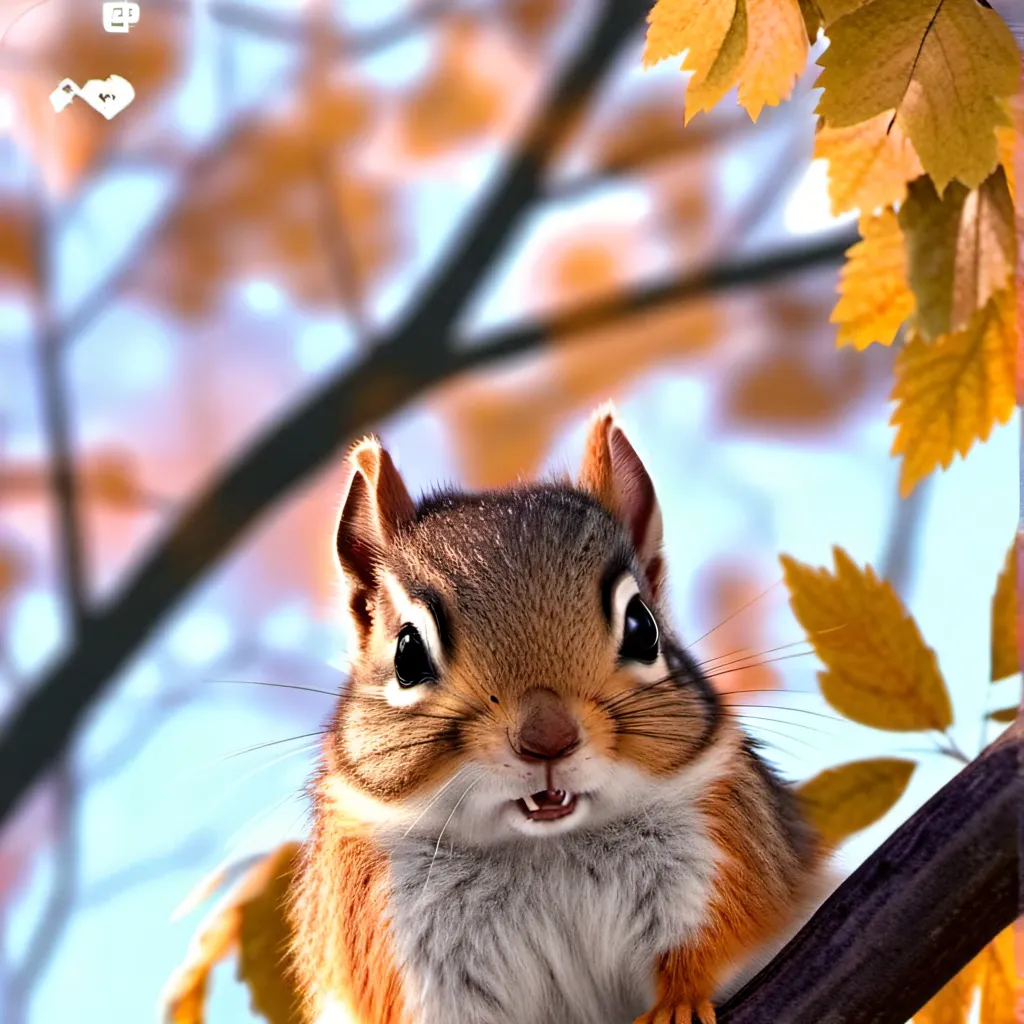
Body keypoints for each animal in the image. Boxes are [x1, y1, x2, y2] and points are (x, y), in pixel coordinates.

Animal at [290, 404, 835, 1024]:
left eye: (643, 626)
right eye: (407, 653)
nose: (547, 739)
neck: (544, 846)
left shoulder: (719, 861)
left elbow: (709, 951)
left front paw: (679, 1006)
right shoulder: (394, 945)